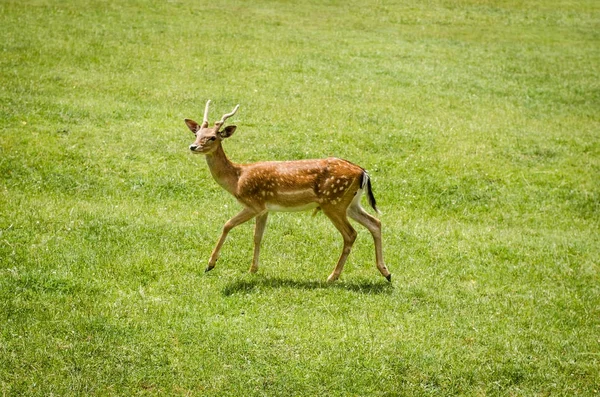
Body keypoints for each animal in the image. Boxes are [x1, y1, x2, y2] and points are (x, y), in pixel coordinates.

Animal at [183, 100, 392, 284]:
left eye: (212, 137)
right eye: (196, 134)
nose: (193, 147)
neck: (237, 178)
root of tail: (363, 172)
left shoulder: (254, 203)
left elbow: (227, 225)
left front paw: (210, 264)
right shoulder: (264, 209)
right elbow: (257, 237)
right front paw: (253, 269)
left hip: (333, 202)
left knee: (351, 234)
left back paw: (332, 276)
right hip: (351, 203)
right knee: (375, 223)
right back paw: (386, 273)